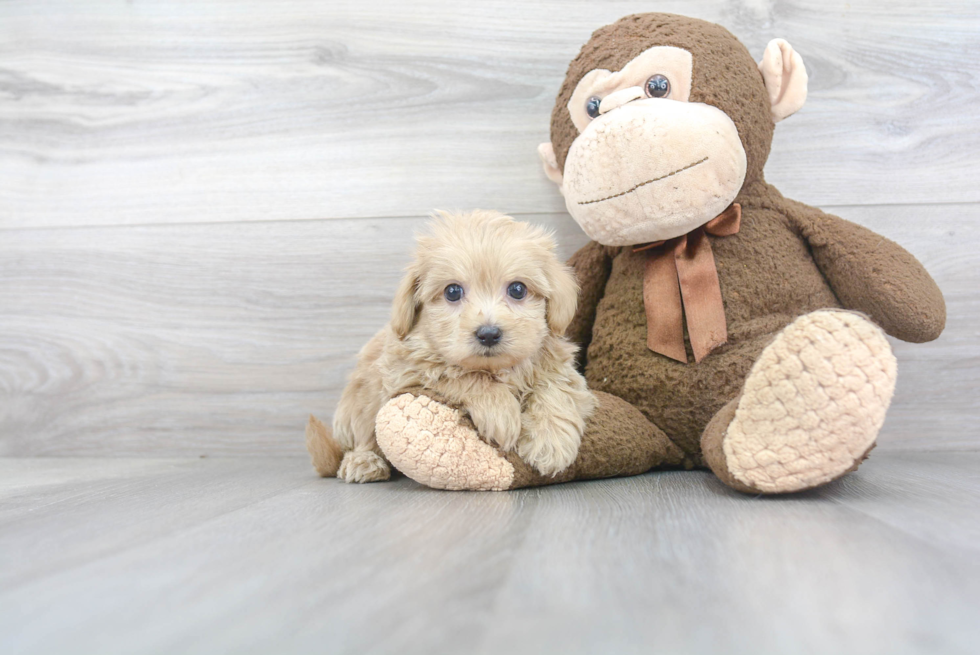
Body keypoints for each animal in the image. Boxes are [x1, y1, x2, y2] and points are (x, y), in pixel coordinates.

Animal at [324, 209, 596, 482]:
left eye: (518, 289)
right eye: (453, 292)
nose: (488, 334)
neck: (496, 368)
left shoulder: (558, 364)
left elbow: (557, 387)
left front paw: (551, 441)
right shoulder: (407, 372)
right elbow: (461, 375)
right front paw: (501, 411)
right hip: (356, 407)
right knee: (363, 435)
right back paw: (363, 461)